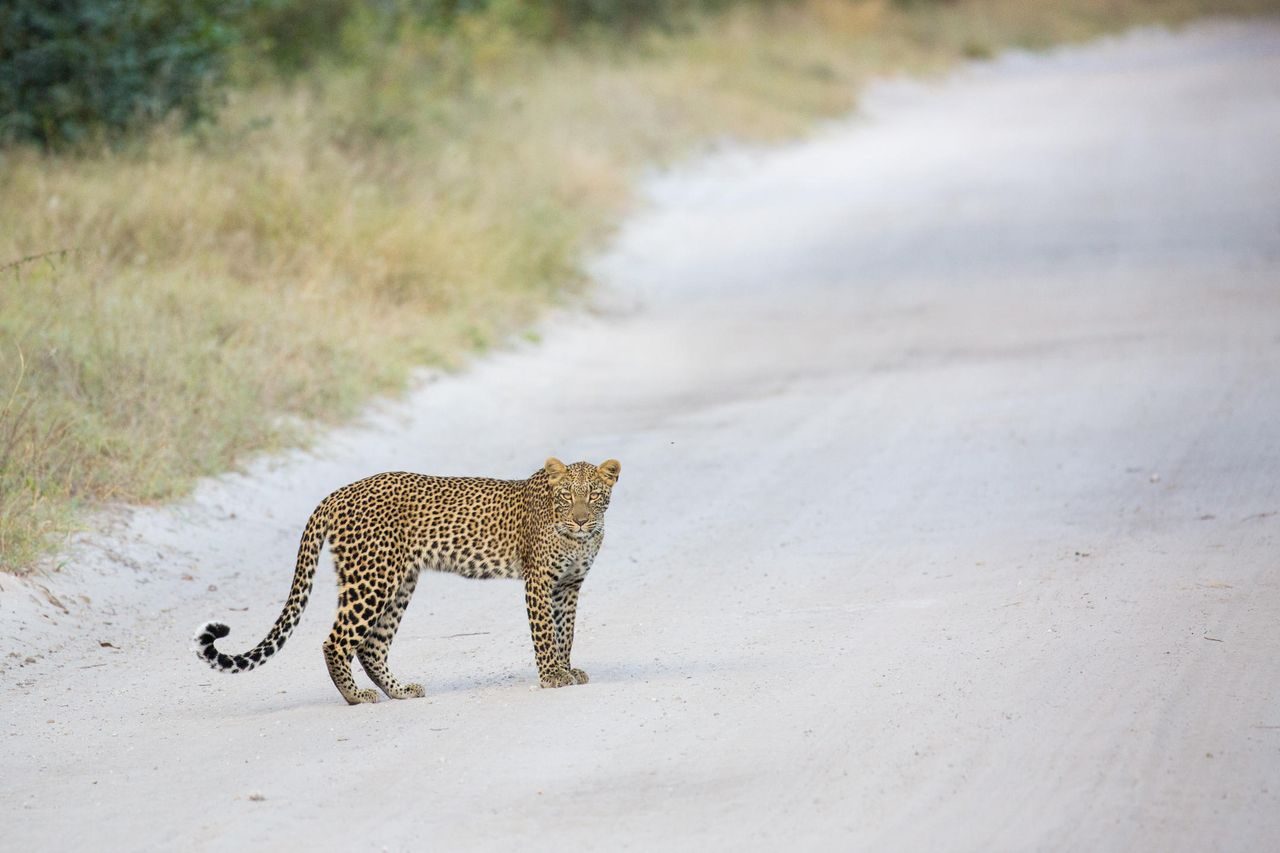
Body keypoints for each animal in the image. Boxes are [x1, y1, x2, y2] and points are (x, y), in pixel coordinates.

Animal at [194, 457, 620, 705]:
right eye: (565, 495)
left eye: (594, 495)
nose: (581, 520)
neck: (579, 537)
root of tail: (338, 494)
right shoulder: (539, 581)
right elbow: (545, 633)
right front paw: (552, 677)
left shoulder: (568, 587)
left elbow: (566, 632)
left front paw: (568, 670)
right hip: (372, 579)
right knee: (337, 642)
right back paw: (356, 696)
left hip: (399, 583)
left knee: (371, 647)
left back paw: (399, 691)